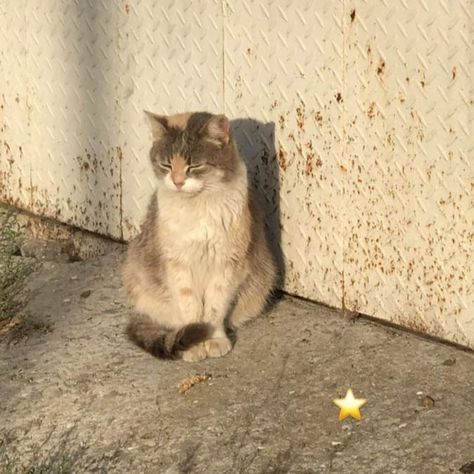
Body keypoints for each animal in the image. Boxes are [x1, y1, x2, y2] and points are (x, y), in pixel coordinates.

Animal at [122, 111, 278, 362]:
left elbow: (215, 307)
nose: (177, 182)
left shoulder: (227, 265)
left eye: (193, 165)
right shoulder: (178, 265)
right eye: (166, 165)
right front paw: (194, 345)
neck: (197, 208)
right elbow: (190, 306)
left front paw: (214, 340)